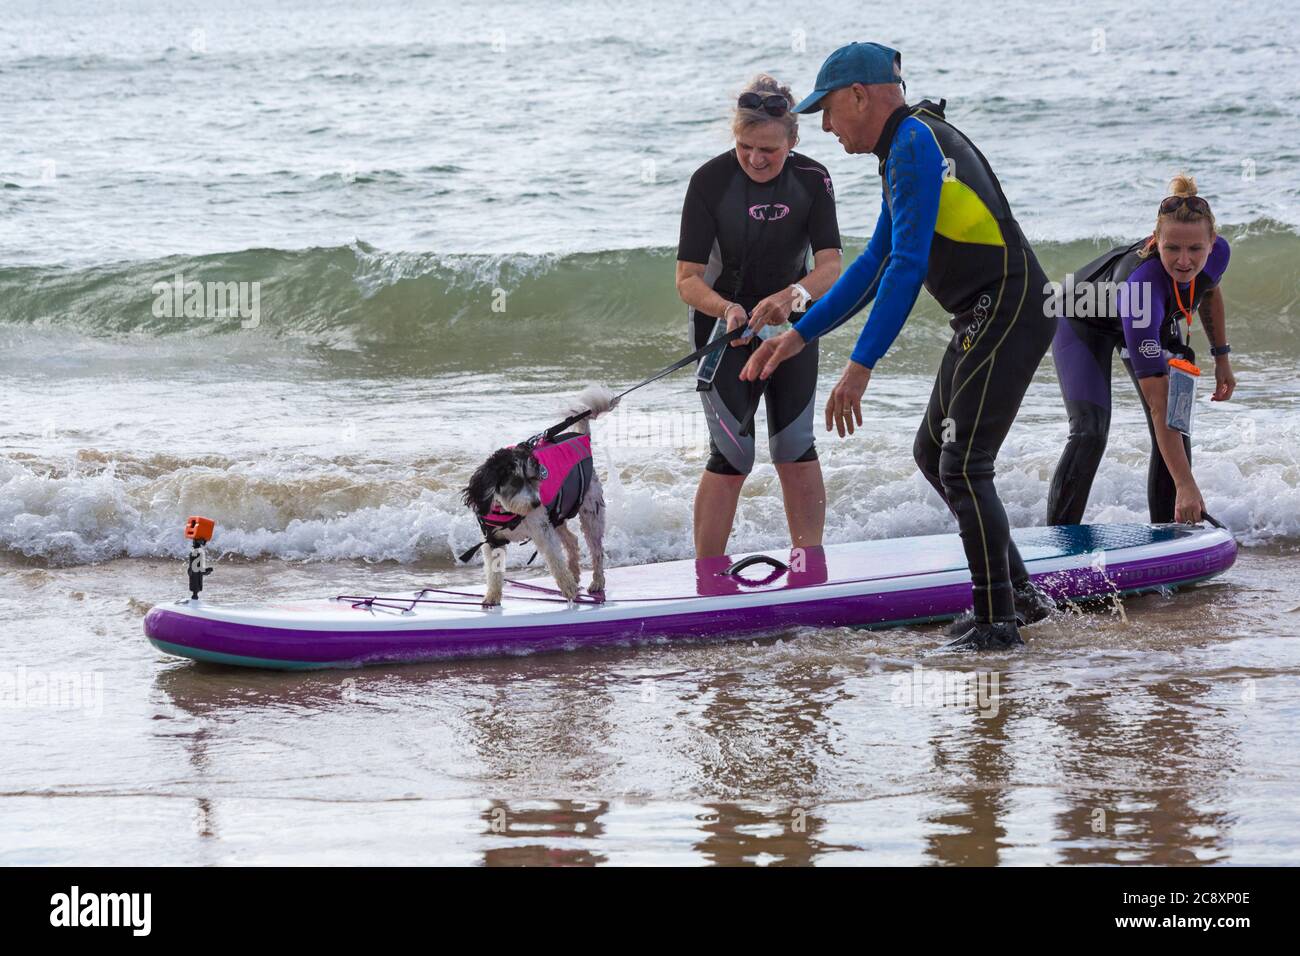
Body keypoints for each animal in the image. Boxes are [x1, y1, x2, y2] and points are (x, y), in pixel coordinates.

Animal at [460, 387, 616, 606]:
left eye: (534, 479)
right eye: (515, 482)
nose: (536, 503)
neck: (506, 511)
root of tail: (581, 436)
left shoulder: (542, 532)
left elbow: (555, 560)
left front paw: (567, 588)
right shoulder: (493, 541)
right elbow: (494, 571)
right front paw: (492, 596)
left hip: (590, 513)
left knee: (596, 550)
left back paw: (596, 581)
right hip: (557, 516)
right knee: (572, 540)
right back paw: (575, 574)